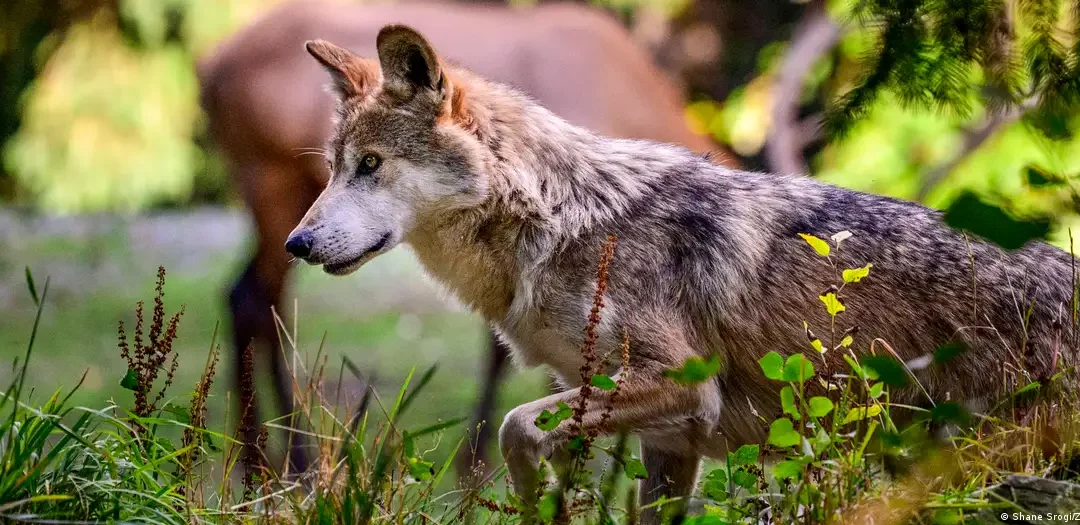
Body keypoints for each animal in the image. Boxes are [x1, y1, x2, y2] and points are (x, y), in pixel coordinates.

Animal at [286, 25, 1077, 521]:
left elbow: (514, 425)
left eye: (372, 165)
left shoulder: (682, 387)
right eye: (334, 167)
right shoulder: (673, 442)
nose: (296, 242)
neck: (567, 220)